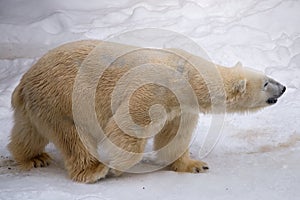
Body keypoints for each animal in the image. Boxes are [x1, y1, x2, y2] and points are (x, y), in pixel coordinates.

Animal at [7, 39, 286, 183]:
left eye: (269, 77)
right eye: (266, 83)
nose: (283, 87)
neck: (188, 74)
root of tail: (24, 80)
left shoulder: (181, 106)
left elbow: (175, 137)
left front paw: (195, 165)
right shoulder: (156, 89)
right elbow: (131, 125)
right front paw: (117, 165)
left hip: (41, 103)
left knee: (28, 131)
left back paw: (34, 158)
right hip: (63, 97)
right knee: (73, 135)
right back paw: (94, 170)